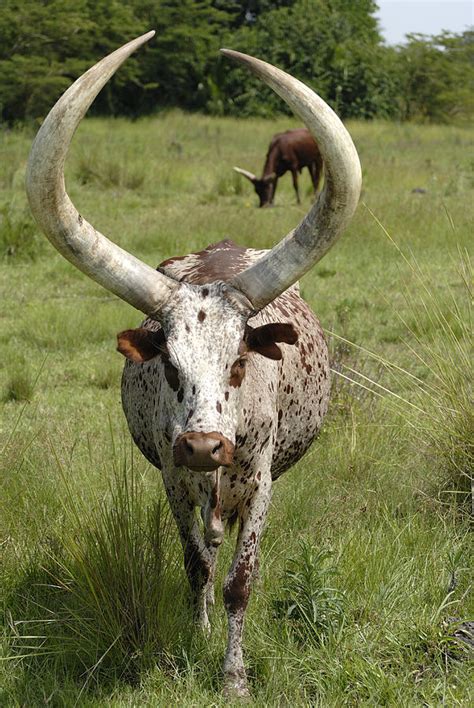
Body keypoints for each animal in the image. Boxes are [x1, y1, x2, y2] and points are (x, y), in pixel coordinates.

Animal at [25, 31, 362, 696]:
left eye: (239, 363)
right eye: (170, 367)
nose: (205, 445)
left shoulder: (258, 479)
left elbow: (240, 581)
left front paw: (233, 676)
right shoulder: (173, 479)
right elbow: (197, 567)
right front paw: (198, 639)